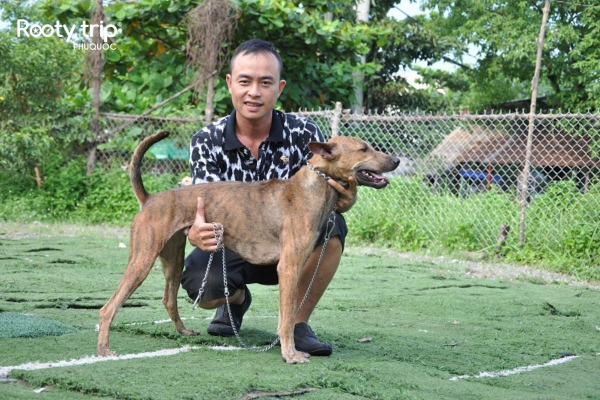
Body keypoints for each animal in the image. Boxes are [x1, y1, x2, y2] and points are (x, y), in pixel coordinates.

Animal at [97, 131, 398, 362]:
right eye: (363, 148)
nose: (396, 160)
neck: (313, 186)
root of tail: (149, 198)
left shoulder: (294, 270)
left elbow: (289, 315)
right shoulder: (288, 268)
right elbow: (285, 319)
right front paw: (290, 355)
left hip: (172, 260)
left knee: (168, 299)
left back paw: (184, 332)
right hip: (142, 261)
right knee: (108, 308)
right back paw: (104, 349)